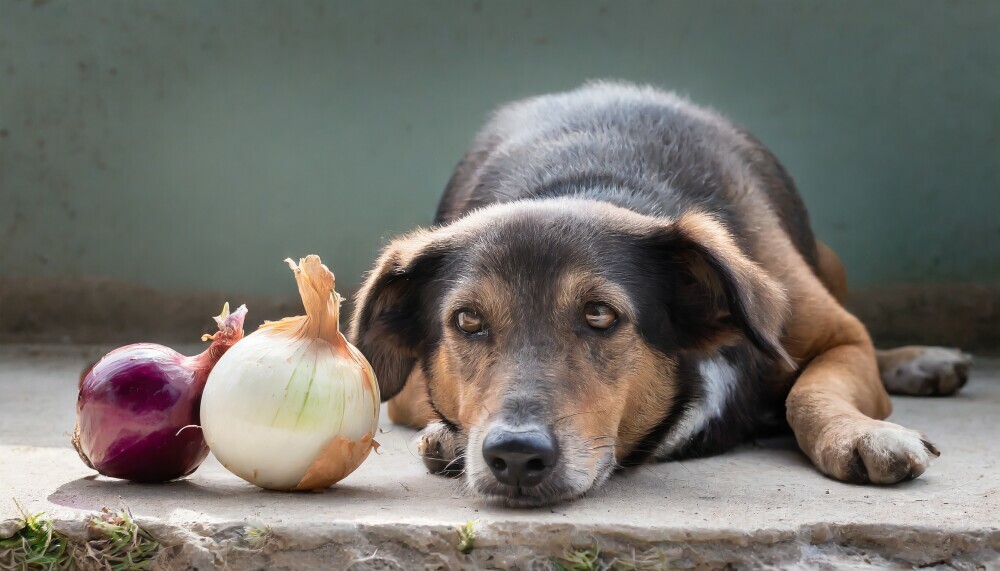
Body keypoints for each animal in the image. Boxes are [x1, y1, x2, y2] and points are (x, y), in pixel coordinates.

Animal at [350, 80, 968, 504]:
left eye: (600, 314)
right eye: (468, 322)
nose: (515, 456)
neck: (594, 180)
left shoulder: (842, 338)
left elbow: (810, 390)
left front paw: (860, 434)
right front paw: (450, 439)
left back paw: (921, 360)